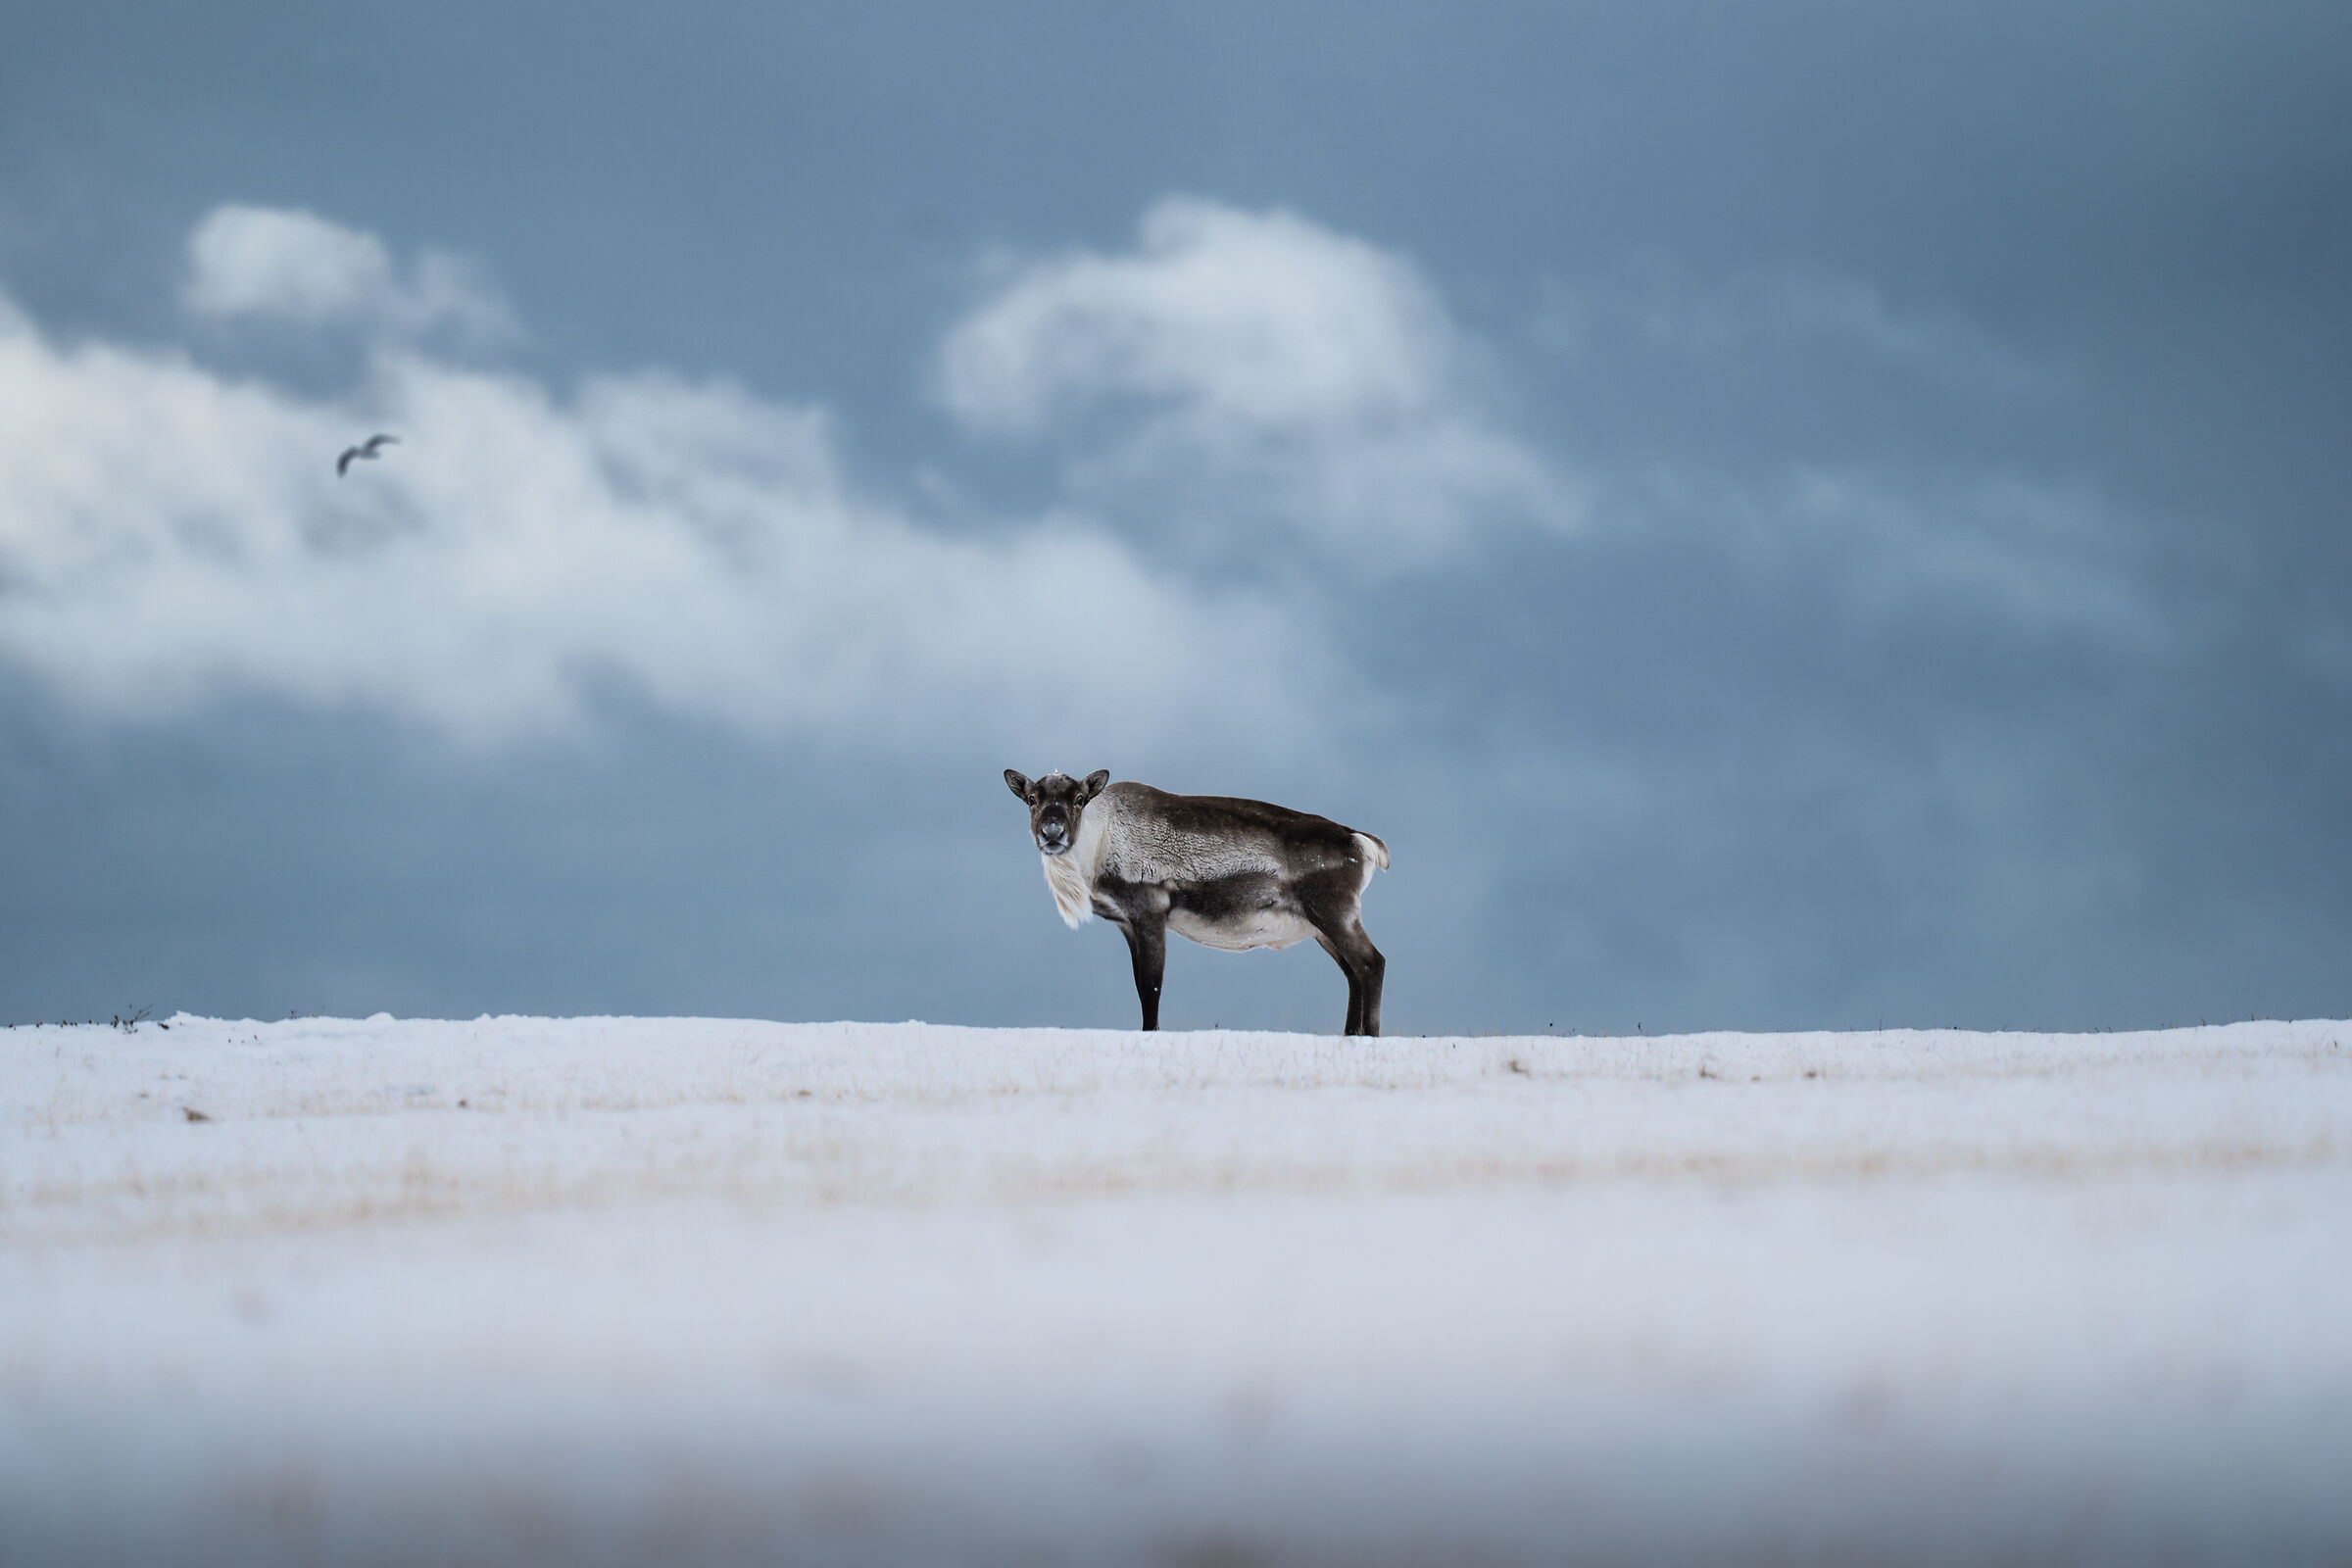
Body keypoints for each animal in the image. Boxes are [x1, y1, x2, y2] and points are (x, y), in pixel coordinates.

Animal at [1004, 769, 1390, 1036]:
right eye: (1032, 798)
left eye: (1079, 798)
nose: (1052, 833)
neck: (1096, 847)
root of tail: (1364, 842)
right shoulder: (1127, 923)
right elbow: (1139, 985)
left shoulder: (1150, 911)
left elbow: (1151, 985)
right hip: (1322, 926)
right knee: (1352, 973)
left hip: (1334, 912)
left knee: (1371, 962)